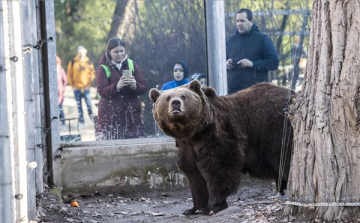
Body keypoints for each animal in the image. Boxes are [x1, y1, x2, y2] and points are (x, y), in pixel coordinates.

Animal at [148, 81, 292, 215]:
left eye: (183, 96)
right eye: (168, 97)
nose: (176, 103)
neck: (194, 132)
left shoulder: (217, 133)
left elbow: (218, 168)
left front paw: (213, 206)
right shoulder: (186, 146)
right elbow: (194, 174)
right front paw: (194, 208)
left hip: (276, 129)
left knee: (286, 161)